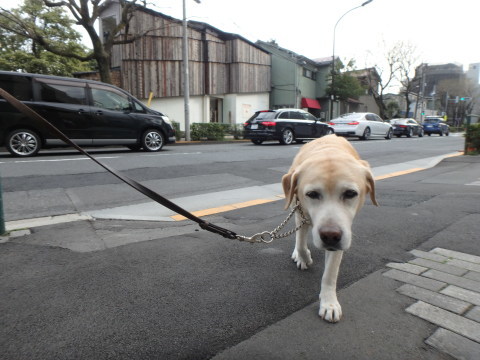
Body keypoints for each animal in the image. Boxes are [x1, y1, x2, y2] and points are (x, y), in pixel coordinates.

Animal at [282, 135, 378, 324]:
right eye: (312, 194)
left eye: (350, 193)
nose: (330, 236)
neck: (329, 150)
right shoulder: (301, 212)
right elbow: (301, 244)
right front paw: (304, 257)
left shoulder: (343, 233)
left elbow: (330, 273)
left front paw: (329, 303)